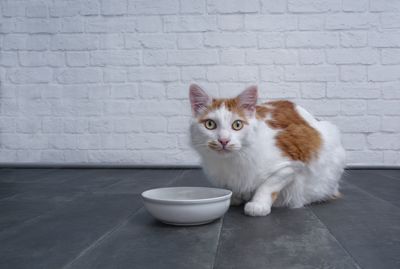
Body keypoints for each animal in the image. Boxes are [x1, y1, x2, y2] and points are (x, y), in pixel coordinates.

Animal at [189, 84, 346, 216]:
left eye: (237, 125)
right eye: (210, 124)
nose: (223, 140)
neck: (231, 161)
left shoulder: (292, 163)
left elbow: (268, 185)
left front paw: (258, 204)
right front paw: (234, 197)